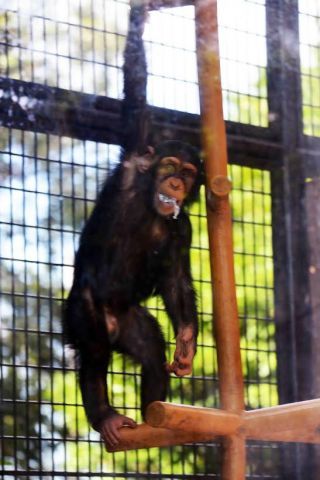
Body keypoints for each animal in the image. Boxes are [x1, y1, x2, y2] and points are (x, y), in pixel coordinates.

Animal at [63, 1, 200, 450]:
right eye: (170, 166)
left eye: (189, 174)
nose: (175, 183)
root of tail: (112, 322)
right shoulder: (135, 156)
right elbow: (136, 100)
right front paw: (143, 14)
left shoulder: (184, 229)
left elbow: (176, 280)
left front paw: (187, 342)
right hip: (84, 310)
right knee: (94, 355)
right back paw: (104, 416)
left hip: (131, 322)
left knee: (152, 352)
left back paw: (156, 417)